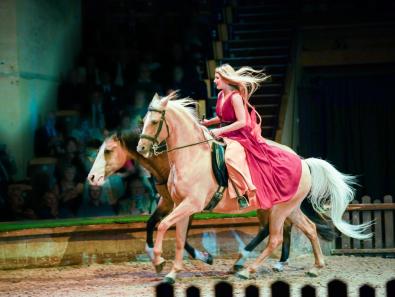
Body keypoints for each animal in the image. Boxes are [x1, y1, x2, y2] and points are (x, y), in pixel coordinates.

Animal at [138, 92, 372, 282]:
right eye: (143, 121)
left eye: (155, 121)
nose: (141, 148)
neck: (191, 156)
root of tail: (303, 162)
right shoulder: (180, 204)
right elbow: (177, 237)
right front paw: (172, 272)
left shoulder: (190, 205)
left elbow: (163, 225)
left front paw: (159, 261)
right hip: (289, 208)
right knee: (309, 229)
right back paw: (315, 267)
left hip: (279, 210)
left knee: (275, 237)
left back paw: (247, 270)